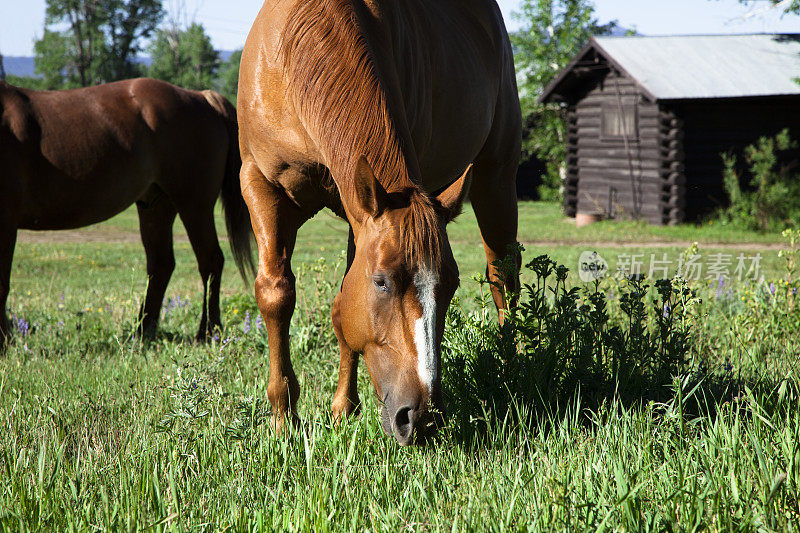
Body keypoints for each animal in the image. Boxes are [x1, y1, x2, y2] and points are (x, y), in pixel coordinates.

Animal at [0, 77, 255, 348]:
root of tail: (201, 97)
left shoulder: (6, 221)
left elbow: (2, 284)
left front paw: (4, 341)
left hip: (194, 204)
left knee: (210, 260)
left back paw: (207, 332)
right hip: (157, 206)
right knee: (162, 265)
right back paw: (142, 332)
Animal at [238, 0, 520, 444]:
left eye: (451, 285)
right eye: (381, 282)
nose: (421, 417)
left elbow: (341, 309)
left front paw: (341, 409)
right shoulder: (261, 185)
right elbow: (277, 294)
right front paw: (287, 420)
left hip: (497, 178)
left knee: (502, 277)